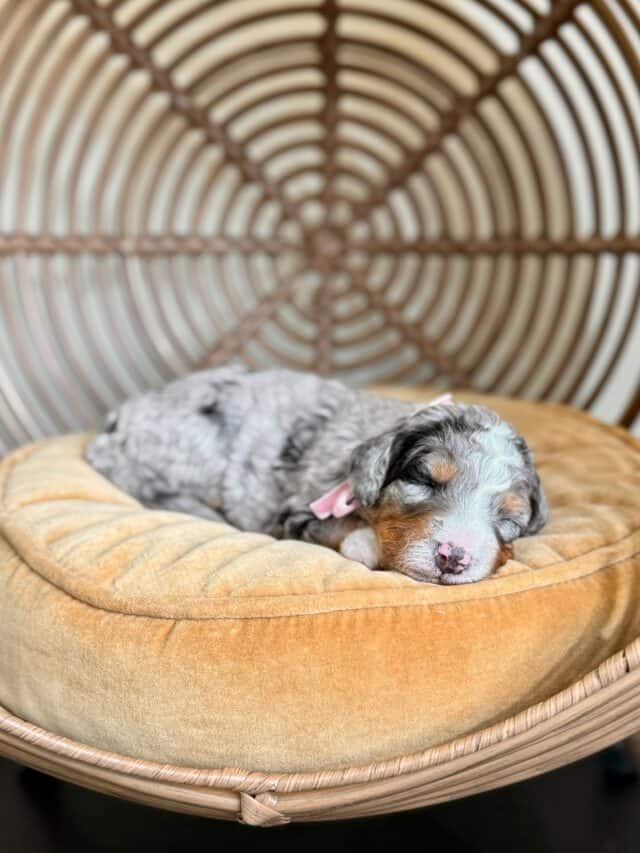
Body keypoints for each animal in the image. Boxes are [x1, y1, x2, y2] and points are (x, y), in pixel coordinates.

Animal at [82, 362, 548, 584]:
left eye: (508, 520)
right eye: (423, 480)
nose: (453, 557)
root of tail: (116, 424)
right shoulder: (292, 509)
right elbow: (336, 526)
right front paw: (365, 542)